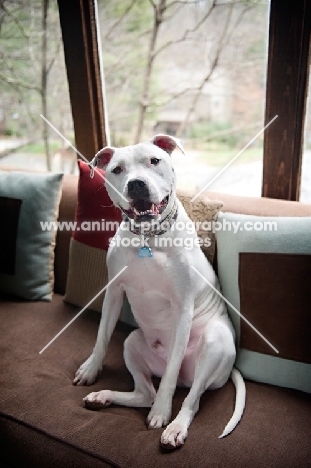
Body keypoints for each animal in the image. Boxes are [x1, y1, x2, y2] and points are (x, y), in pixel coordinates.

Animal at [73, 133, 246, 448]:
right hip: (132, 342)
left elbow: (170, 375)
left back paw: (175, 427)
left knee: (191, 399)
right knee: (146, 393)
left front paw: (162, 413)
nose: (136, 184)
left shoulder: (183, 307)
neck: (149, 238)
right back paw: (103, 397)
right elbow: (102, 336)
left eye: (155, 161)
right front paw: (91, 370)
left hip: (214, 343)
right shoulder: (114, 291)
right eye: (117, 169)